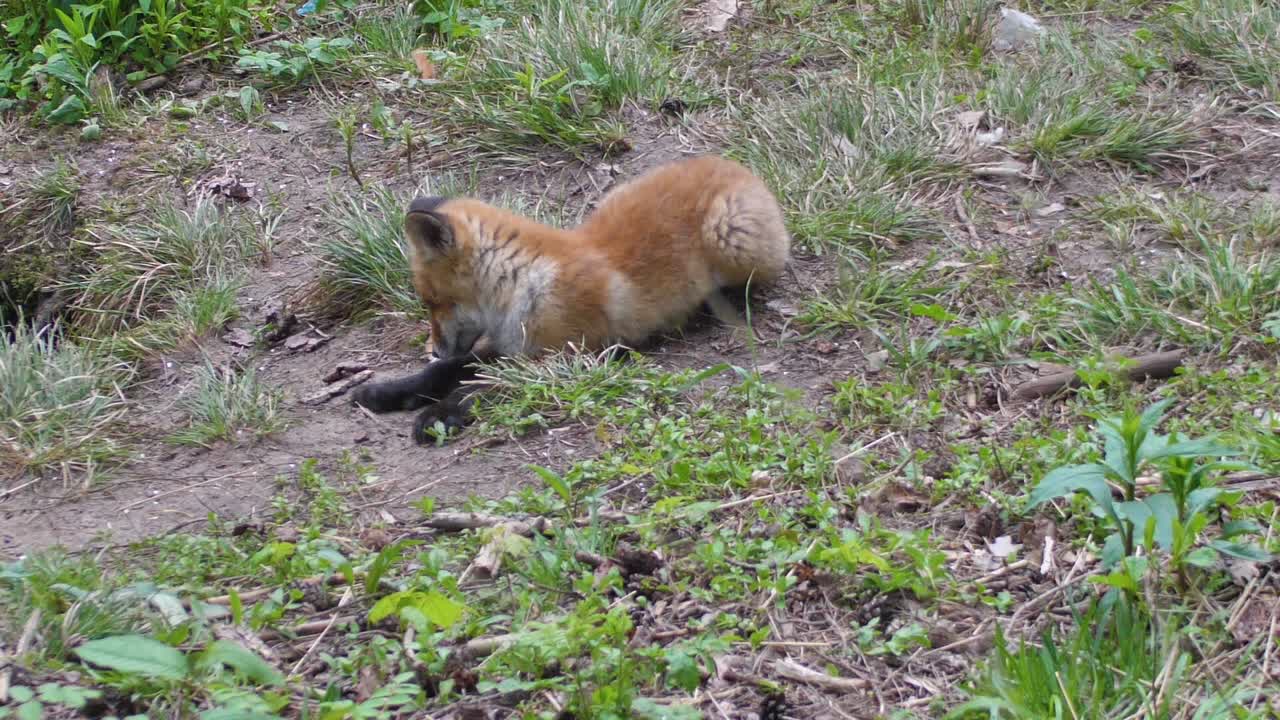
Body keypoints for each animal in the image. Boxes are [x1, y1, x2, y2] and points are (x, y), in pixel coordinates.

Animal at [351, 154, 791, 444]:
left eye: (432, 301)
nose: (435, 349)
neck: (525, 285)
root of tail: (732, 164)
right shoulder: (508, 346)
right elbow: (443, 375)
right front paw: (386, 391)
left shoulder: (559, 360)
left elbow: (477, 389)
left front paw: (438, 414)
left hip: (729, 239)